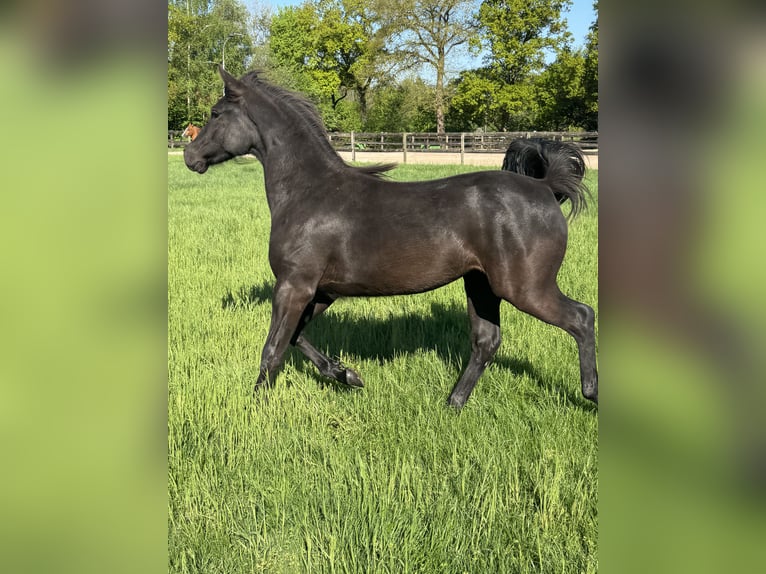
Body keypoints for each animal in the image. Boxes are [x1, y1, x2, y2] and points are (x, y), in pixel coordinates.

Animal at [184, 66, 598, 408]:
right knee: (486, 341)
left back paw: (591, 394)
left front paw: (255, 408)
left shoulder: (294, 285)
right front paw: (347, 375)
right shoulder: (322, 291)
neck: (309, 192)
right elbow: (297, 337)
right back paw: (452, 404)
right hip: (481, 285)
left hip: (525, 288)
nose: (189, 155)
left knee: (581, 317)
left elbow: (273, 348)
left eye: (216, 114)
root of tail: (544, 187)